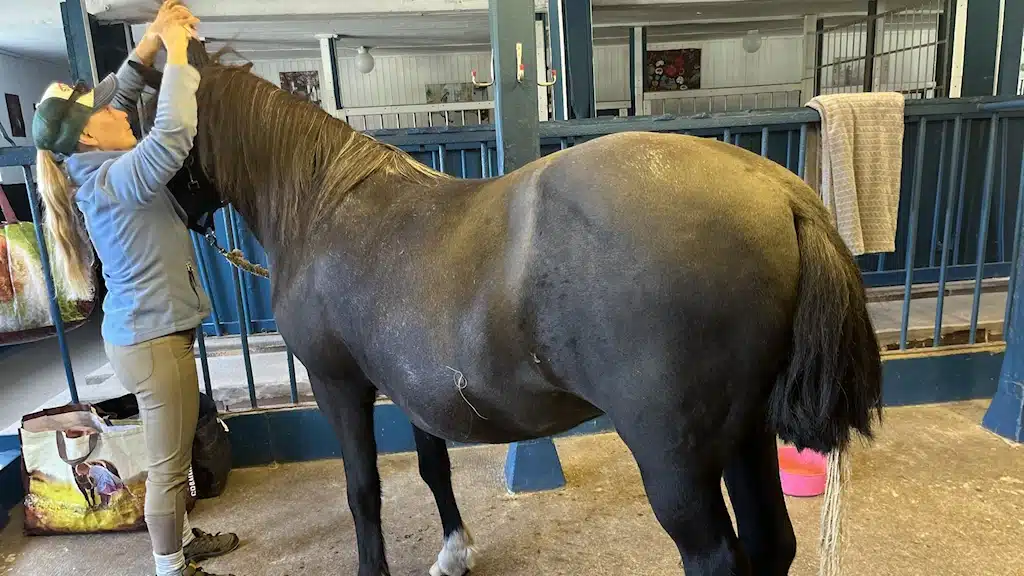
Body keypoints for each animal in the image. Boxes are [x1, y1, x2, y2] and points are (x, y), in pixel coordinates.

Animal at [130, 41, 882, 576]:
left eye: (144, 117)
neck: (327, 205)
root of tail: (781, 193)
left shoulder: (338, 384)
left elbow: (362, 490)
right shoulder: (413, 388)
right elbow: (432, 468)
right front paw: (454, 552)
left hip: (677, 462)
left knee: (719, 557)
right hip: (747, 435)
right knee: (772, 543)